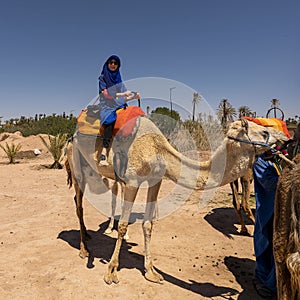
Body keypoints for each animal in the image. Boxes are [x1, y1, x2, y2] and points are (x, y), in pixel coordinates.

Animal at [64, 115, 288, 284]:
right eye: (264, 132)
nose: (286, 139)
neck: (157, 149)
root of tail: (71, 137)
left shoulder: (155, 180)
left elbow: (148, 224)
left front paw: (151, 271)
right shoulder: (132, 181)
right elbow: (124, 225)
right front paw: (111, 271)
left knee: (78, 200)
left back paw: (88, 235)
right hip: (76, 164)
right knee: (79, 203)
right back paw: (84, 249)